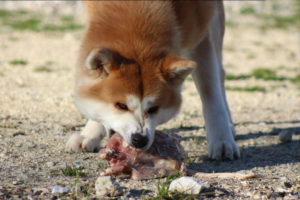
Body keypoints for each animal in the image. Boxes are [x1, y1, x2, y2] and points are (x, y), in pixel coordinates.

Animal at [65, 0, 239, 159]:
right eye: (121, 105)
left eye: (154, 108)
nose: (140, 139)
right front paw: (90, 133)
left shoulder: (200, 32)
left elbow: (210, 93)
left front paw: (222, 140)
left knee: (220, 74)